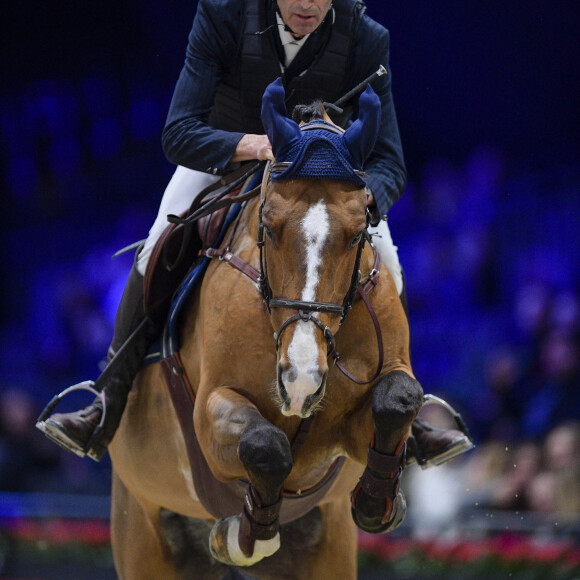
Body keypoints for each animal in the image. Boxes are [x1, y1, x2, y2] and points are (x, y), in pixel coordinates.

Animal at [107, 78, 422, 580]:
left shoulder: (347, 430)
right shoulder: (210, 413)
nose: (300, 380)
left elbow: (399, 398)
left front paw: (378, 503)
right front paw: (245, 534)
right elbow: (265, 444)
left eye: (357, 233)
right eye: (269, 227)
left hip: (328, 549)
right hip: (142, 531)